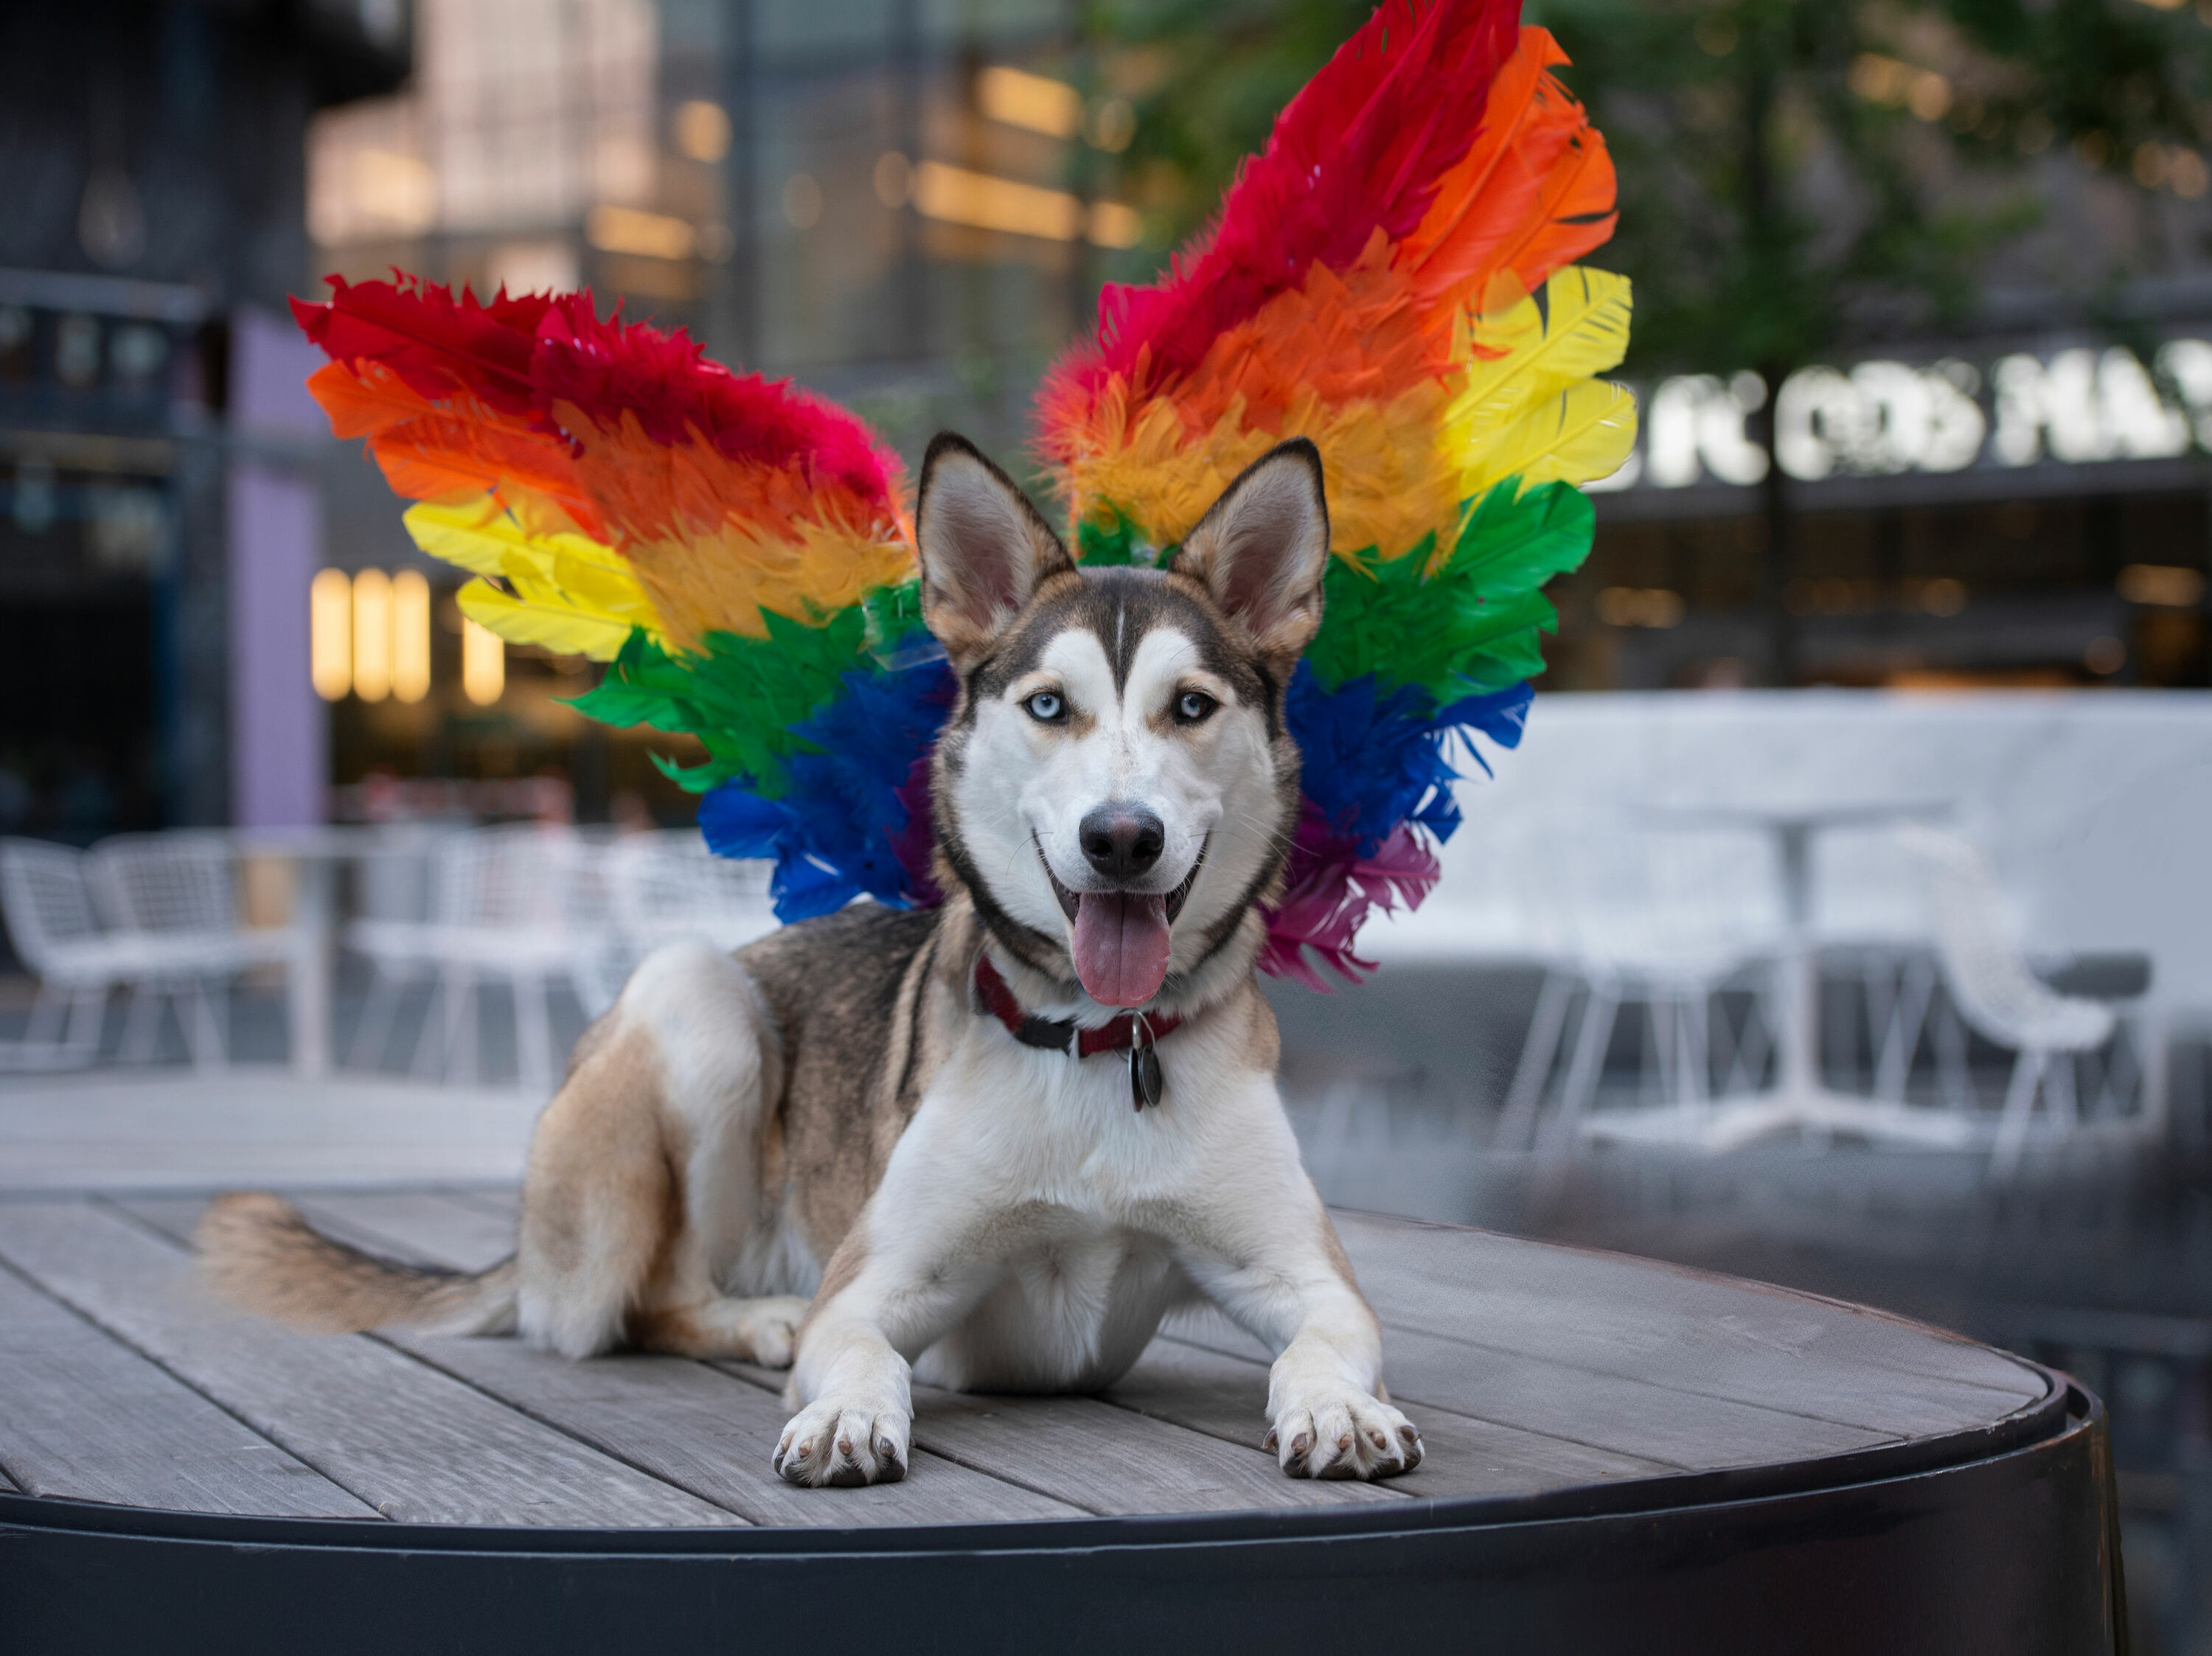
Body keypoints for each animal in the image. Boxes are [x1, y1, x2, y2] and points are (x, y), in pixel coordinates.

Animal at [204, 435, 1416, 1486]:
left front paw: (1341, 1407)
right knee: (642, 1306)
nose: (1121, 838)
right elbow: (863, 1349)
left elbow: (1322, 1339)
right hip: (696, 1003)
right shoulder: (876, 1282)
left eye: (1192, 706)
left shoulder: (1310, 1278)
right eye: (1050, 705)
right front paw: (843, 1414)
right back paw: (759, 1319)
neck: (1092, 1033)